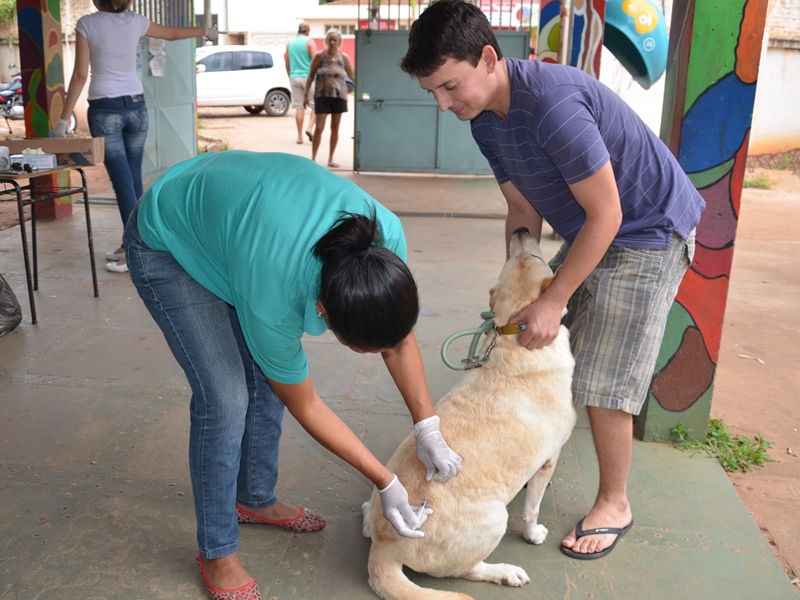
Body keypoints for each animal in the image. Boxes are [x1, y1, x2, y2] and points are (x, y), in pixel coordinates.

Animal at [360, 227, 576, 596]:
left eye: (523, 255)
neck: (512, 337)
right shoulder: (549, 460)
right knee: (465, 571)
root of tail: (383, 549)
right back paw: (504, 571)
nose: (521, 229)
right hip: (495, 520)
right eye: (536, 256)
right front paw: (533, 534)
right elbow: (532, 509)